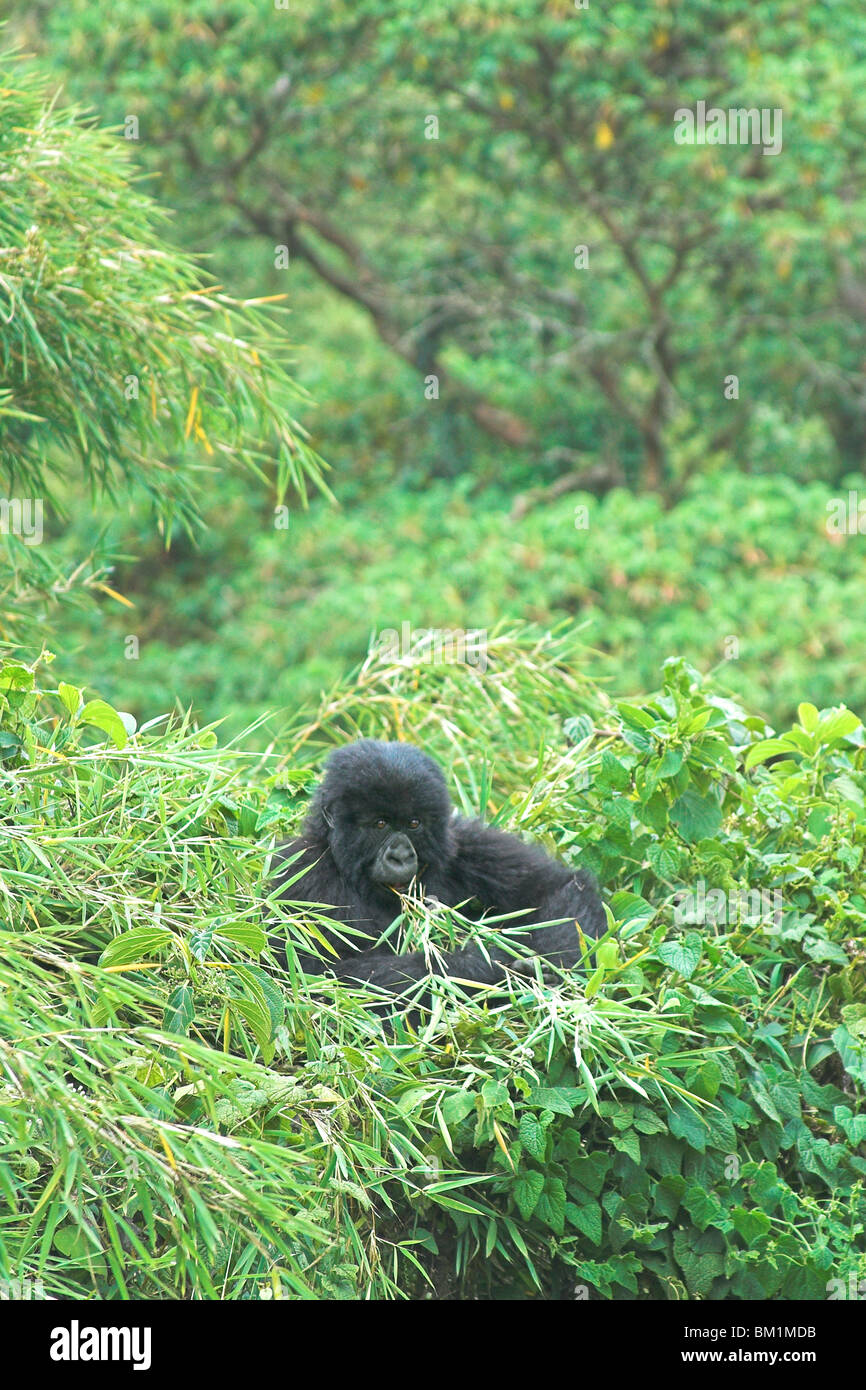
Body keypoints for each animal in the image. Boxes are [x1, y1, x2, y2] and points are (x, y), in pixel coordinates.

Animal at [271, 745, 603, 995]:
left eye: (413, 823)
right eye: (380, 824)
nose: (401, 855)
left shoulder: (468, 843)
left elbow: (557, 890)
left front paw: (544, 962)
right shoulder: (300, 875)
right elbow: (323, 978)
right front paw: (496, 966)